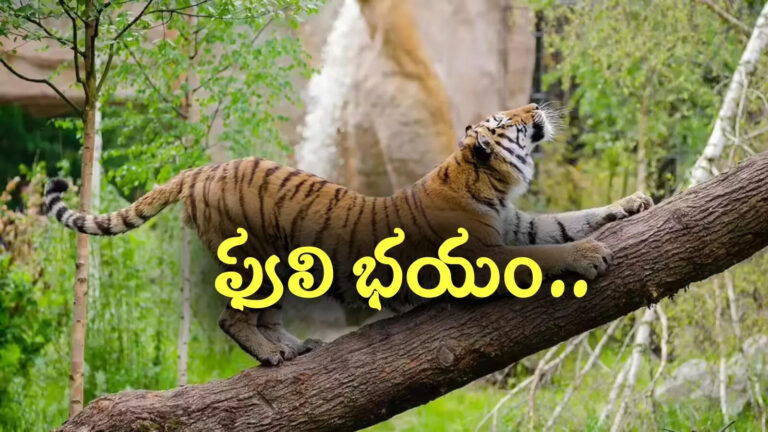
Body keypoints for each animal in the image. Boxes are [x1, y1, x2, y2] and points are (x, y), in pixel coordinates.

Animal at [45, 103, 653, 365]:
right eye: (509, 122)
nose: (535, 105)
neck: (494, 184)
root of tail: (201, 169)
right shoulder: (485, 257)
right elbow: (551, 253)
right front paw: (590, 255)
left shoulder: (517, 225)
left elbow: (567, 220)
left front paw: (632, 202)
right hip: (254, 259)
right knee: (231, 317)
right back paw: (272, 356)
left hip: (282, 266)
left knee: (263, 317)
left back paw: (293, 346)